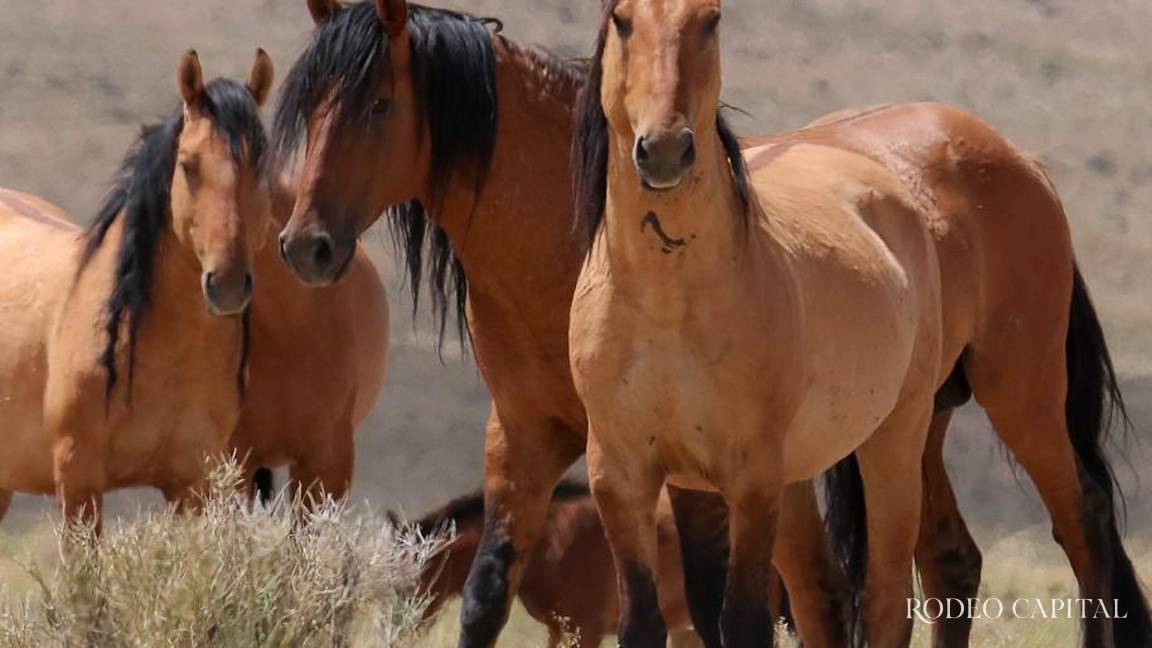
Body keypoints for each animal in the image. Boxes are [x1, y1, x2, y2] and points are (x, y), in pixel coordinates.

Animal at [271, 2, 849, 645]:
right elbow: (486, 596)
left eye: (379, 104)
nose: (306, 246)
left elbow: (703, 605)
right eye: (309, 105)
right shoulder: (523, 434)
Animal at [571, 1, 948, 645]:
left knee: (887, 598)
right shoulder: (620, 476)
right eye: (621, 18)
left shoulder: (750, 478)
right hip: (796, 478)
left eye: (711, 19)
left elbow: (743, 619)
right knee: (825, 594)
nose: (665, 150)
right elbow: (641, 620)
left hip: (895, 436)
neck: (667, 302)